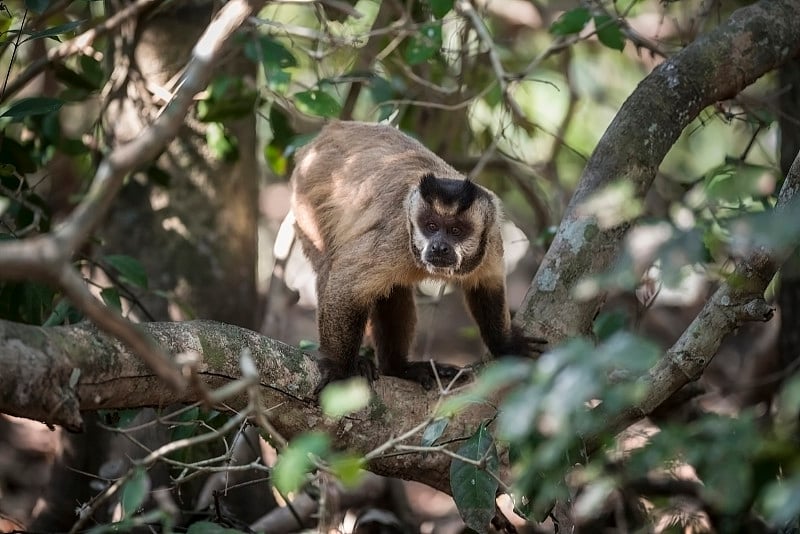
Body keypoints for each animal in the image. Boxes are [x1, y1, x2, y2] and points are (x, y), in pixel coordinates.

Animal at [290, 121, 548, 392]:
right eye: (431, 226)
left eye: (455, 231)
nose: (438, 247)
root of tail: (331, 130)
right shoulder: (397, 239)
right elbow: (346, 287)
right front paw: (339, 370)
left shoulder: (492, 239)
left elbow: (486, 284)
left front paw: (504, 344)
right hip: (307, 196)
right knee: (330, 265)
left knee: (392, 290)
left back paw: (397, 368)